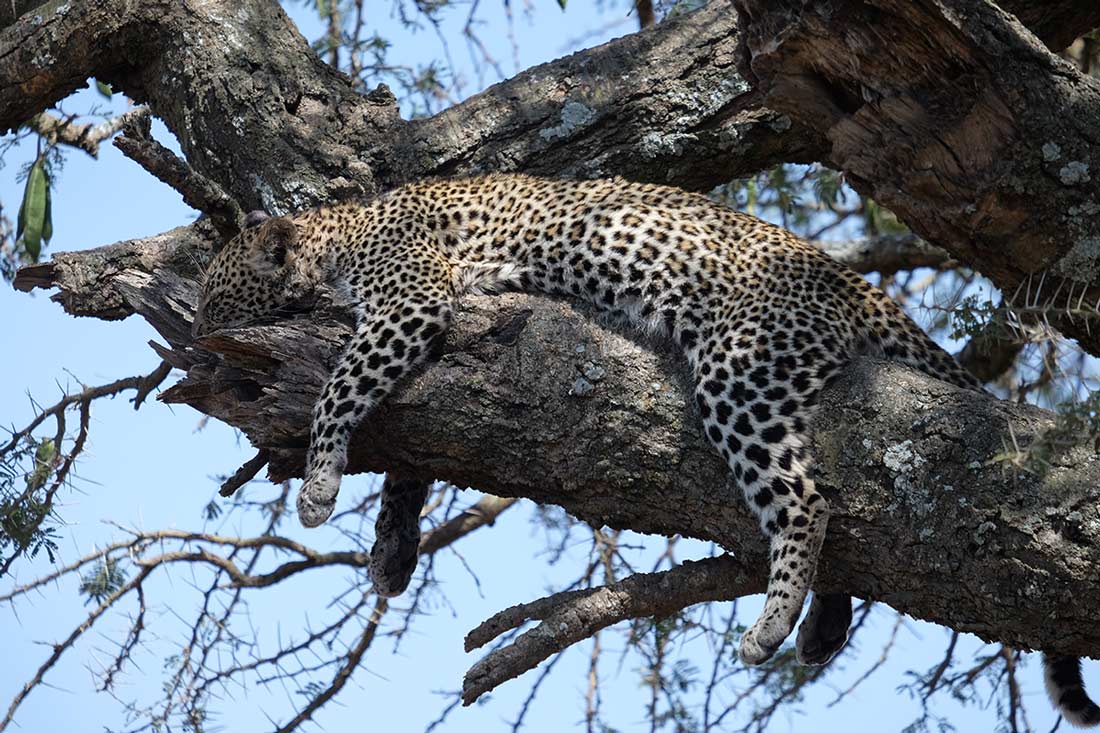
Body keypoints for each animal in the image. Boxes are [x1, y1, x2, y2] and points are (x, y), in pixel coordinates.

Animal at [193, 173, 1097, 726]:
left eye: (213, 298)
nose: (195, 340)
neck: (337, 236)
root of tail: (850, 280)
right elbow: (412, 462)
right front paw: (389, 551)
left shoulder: (410, 304)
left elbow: (340, 388)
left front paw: (317, 484)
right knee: (835, 501)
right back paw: (818, 629)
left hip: (739, 369)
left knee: (805, 499)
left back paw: (771, 625)